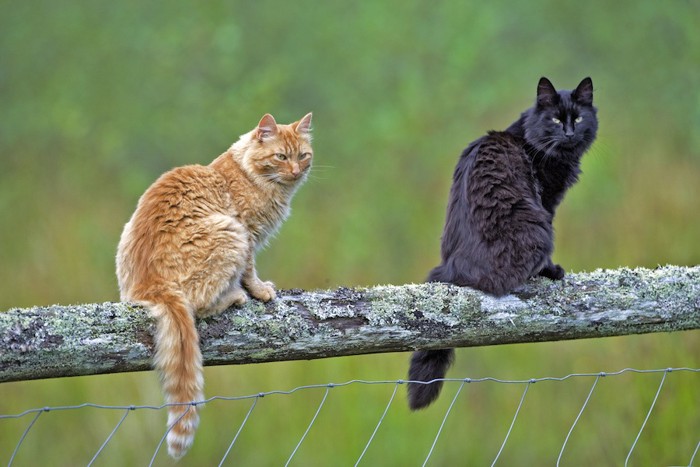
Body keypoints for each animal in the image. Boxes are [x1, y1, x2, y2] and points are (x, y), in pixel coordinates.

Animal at [116, 112, 314, 458]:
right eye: (280, 156)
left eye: (302, 155)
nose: (294, 171)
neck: (249, 175)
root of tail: (149, 284)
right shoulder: (247, 232)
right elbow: (250, 272)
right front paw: (259, 291)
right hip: (229, 233)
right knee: (199, 305)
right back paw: (235, 297)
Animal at [408, 77, 600, 410]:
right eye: (555, 119)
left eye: (577, 118)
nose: (568, 133)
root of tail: (450, 267)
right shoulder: (546, 201)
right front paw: (552, 271)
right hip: (537, 228)